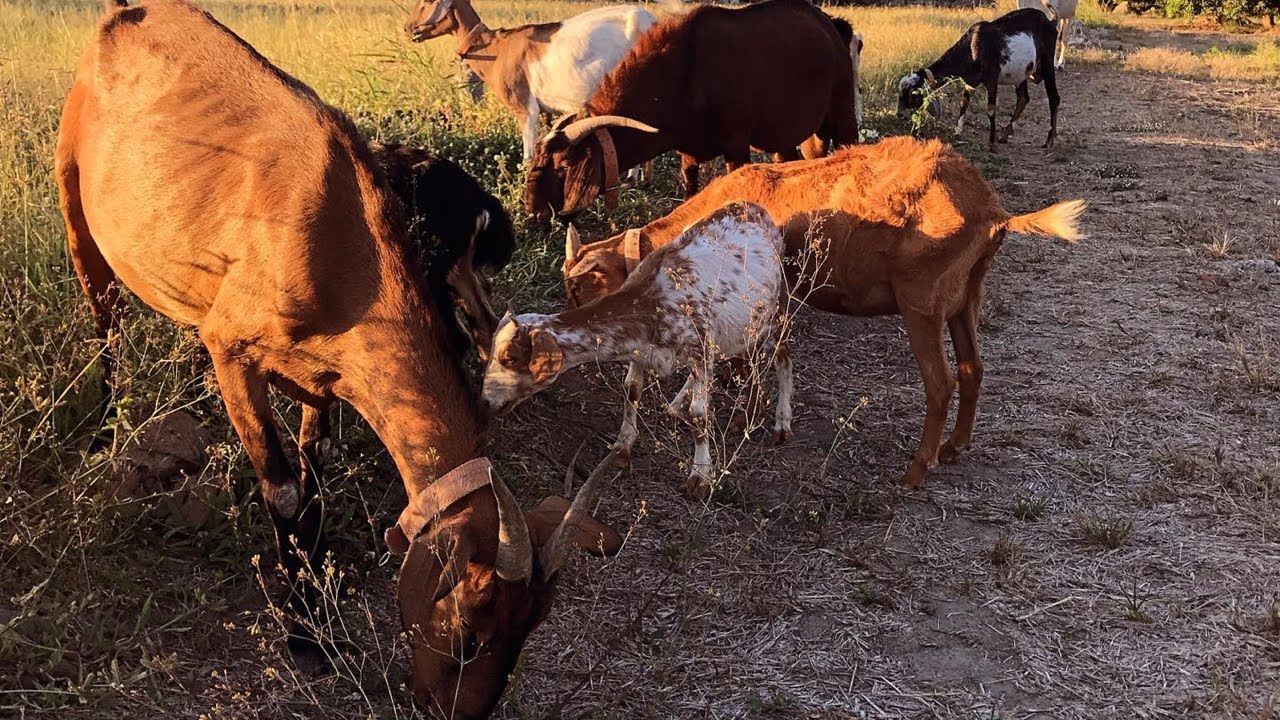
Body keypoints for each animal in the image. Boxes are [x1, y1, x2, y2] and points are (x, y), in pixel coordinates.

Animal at [405, 0, 656, 163]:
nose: (407, 28)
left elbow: (527, 156)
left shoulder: (524, 106)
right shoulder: (545, 111)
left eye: (427, 1)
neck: (496, 49)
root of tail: (650, 20)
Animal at [485, 202, 790, 499]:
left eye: (509, 358)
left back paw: (781, 423)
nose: (485, 402)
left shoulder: (700, 348)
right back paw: (679, 406)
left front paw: (701, 477)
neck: (650, 301)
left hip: (773, 312)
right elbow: (631, 389)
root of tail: (754, 209)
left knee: (782, 354)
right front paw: (622, 448)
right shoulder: (642, 352)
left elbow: (700, 413)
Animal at [523, 0, 860, 224]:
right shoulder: (688, 154)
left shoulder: (736, 147)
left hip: (843, 111)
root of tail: (831, 24)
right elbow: (691, 194)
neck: (685, 72)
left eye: (565, 166)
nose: (534, 211)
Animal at [561, 138, 1086, 489]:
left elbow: (756, 356)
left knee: (941, 383)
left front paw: (751, 415)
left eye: (582, 287)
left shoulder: (770, 293)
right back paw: (955, 447)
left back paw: (917, 469)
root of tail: (992, 212)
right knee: (973, 368)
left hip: (923, 304)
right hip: (966, 298)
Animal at [897, 8, 1060, 149]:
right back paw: (1004, 136)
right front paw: (958, 132)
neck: (972, 46)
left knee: (1054, 98)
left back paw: (1049, 141)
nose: (899, 114)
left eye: (913, 94)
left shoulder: (992, 78)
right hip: (1021, 74)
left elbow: (991, 110)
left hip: (1047, 63)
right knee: (1023, 98)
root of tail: (1051, 22)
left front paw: (991, 143)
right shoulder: (970, 82)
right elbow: (963, 103)